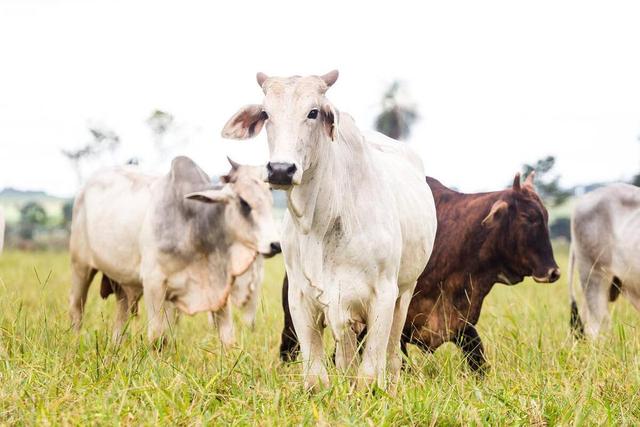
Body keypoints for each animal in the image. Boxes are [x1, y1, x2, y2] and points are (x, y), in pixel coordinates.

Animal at [69, 156, 280, 344]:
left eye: (270, 200)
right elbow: (157, 337)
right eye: (244, 202)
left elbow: (228, 338)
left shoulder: (218, 290)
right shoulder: (153, 283)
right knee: (77, 310)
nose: (276, 245)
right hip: (80, 267)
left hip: (122, 283)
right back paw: (75, 342)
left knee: (121, 315)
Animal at [222, 70, 438, 392]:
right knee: (346, 355)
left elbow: (370, 373)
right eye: (266, 113)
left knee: (391, 356)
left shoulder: (383, 294)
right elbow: (316, 375)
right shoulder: (301, 297)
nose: (281, 169)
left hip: (405, 291)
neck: (322, 222)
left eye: (313, 112)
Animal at [278, 174, 556, 374]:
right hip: (294, 317)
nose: (554, 271)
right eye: (528, 217)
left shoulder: (461, 324)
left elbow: (479, 363)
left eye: (545, 216)